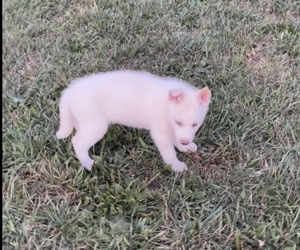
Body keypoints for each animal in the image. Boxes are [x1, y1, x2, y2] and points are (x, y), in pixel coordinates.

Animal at [56, 70, 211, 172]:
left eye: (195, 124)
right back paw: (88, 163)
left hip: (85, 121)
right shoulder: (161, 132)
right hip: (96, 126)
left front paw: (185, 147)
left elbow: (176, 138)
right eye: (178, 122)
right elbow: (169, 152)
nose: (185, 142)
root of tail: (70, 91)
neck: (167, 104)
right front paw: (176, 165)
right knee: (78, 142)